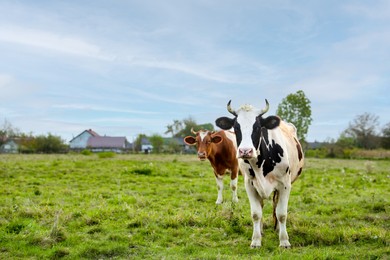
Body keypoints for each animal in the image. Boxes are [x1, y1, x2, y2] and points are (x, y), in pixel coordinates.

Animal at [215, 99, 304, 248]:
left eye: (257, 127)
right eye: (236, 127)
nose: (245, 151)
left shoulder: (285, 185)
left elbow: (282, 214)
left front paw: (284, 241)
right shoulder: (250, 185)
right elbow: (256, 213)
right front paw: (256, 240)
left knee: (276, 205)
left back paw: (277, 229)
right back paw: (261, 230)